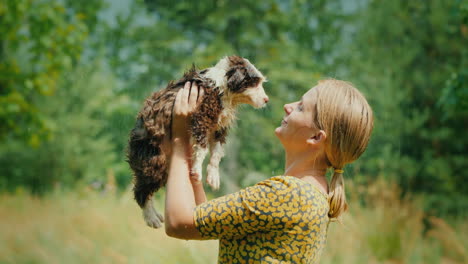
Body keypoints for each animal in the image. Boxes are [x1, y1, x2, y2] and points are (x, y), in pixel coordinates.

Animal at [126, 55, 268, 227]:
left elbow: (216, 153)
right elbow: (202, 148)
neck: (220, 87)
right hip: (153, 159)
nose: (266, 100)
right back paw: (151, 218)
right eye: (254, 82)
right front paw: (197, 170)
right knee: (141, 191)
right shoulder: (202, 118)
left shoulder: (220, 127)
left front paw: (213, 177)